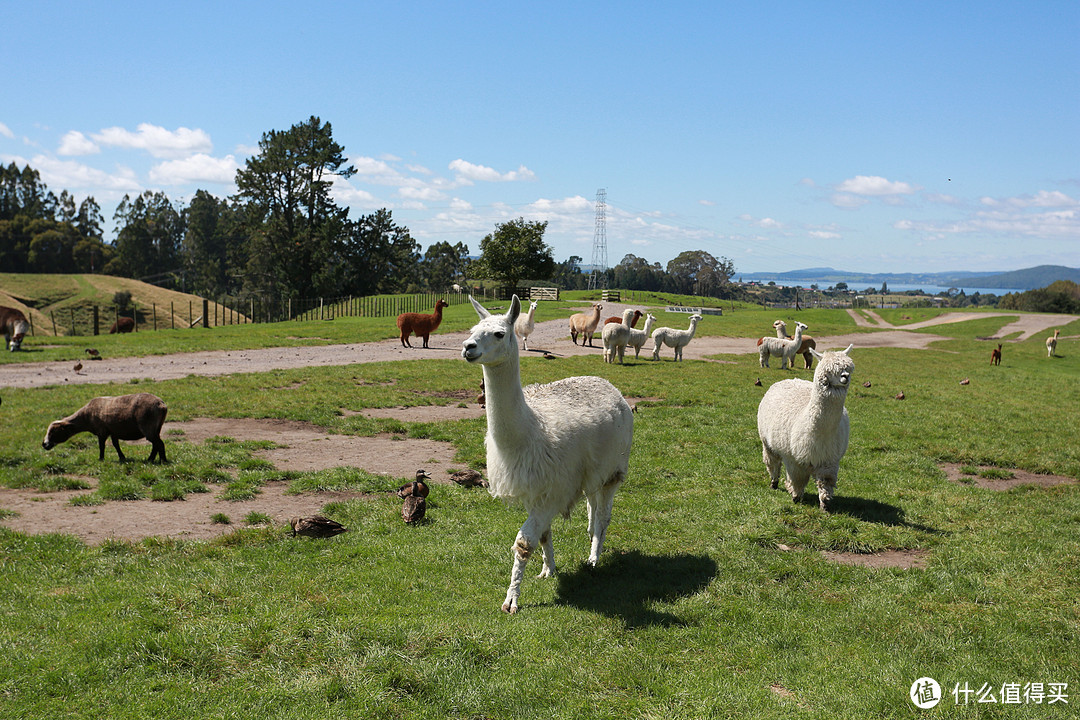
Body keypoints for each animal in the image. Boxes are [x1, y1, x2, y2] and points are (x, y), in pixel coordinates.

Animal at [462, 295, 630, 613]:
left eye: (499, 333)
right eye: (473, 330)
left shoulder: (551, 489)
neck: (528, 431)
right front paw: (548, 569)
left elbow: (524, 542)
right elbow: (543, 534)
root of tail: (610, 385)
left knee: (604, 514)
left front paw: (511, 600)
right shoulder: (535, 488)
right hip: (589, 471)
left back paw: (594, 557)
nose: (468, 347)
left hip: (615, 466)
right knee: (592, 504)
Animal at [760, 345, 851, 509]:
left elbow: (826, 482)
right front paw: (796, 496)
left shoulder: (829, 459)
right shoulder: (794, 458)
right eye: (829, 370)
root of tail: (790, 379)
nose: (845, 377)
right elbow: (797, 479)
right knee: (772, 462)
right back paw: (774, 483)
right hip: (767, 441)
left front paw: (825, 505)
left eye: (848, 368)